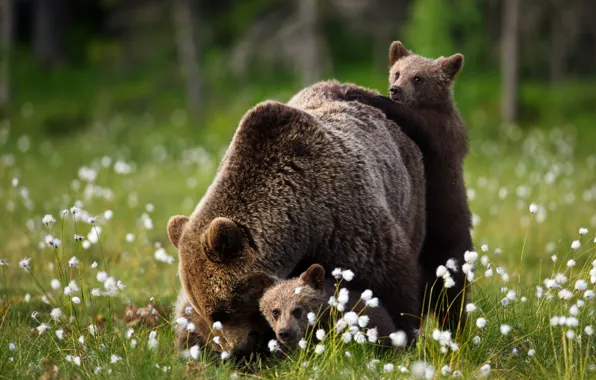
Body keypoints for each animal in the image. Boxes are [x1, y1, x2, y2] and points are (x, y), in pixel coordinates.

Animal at [168, 79, 426, 356]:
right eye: (207, 312)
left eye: (223, 310)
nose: (236, 349)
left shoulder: (344, 220)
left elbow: (390, 282)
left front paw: (399, 336)